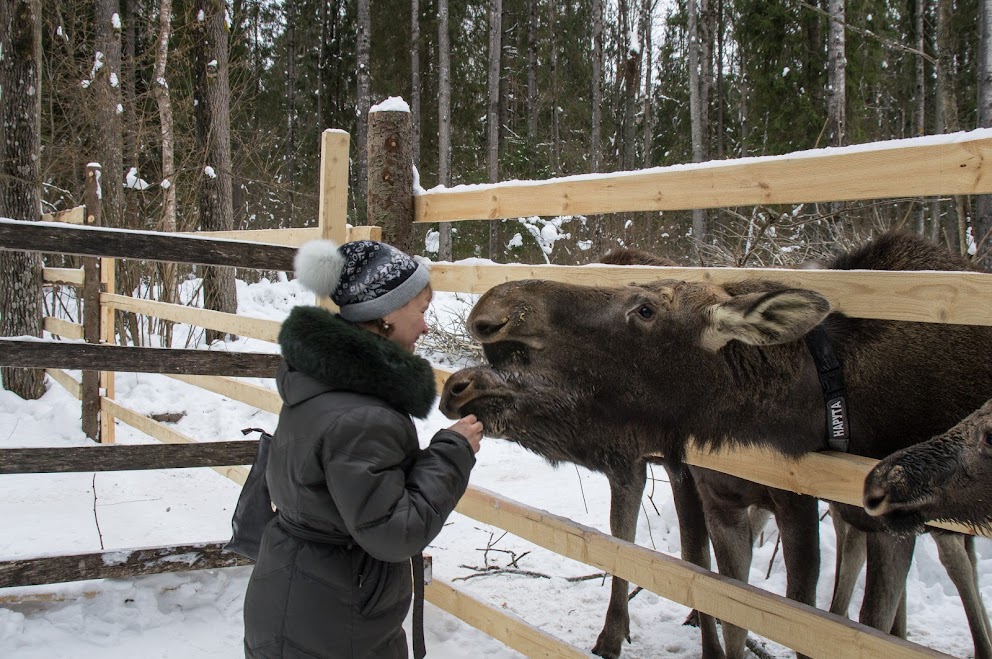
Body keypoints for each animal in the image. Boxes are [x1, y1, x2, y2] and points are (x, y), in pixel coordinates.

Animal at [442, 233, 992, 659]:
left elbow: (808, 615)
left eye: (645, 308)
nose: (494, 310)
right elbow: (710, 595)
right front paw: (615, 635)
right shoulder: (696, 487)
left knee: (953, 558)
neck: (831, 399)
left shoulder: (805, 504)